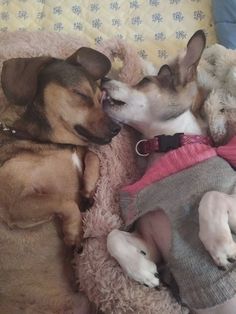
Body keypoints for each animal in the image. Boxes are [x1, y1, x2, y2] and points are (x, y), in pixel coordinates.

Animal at [0, 47, 120, 314]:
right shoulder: (13, 203)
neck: (57, 144)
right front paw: (74, 233)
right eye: (81, 94)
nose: (118, 128)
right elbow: (66, 204)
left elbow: (92, 156)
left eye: (101, 97)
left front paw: (89, 188)